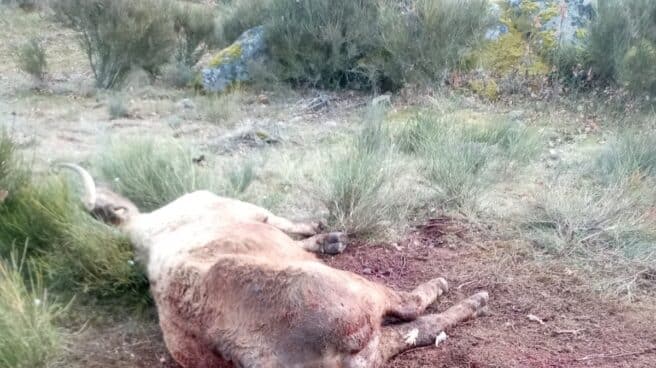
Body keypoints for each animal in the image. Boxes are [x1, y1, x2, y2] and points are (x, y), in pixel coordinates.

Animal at [62, 164, 492, 368]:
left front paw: (327, 238)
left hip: (371, 346)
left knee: (417, 330)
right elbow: (280, 221)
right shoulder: (243, 208)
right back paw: (464, 296)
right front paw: (324, 233)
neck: (144, 231)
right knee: (413, 309)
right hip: (359, 291)